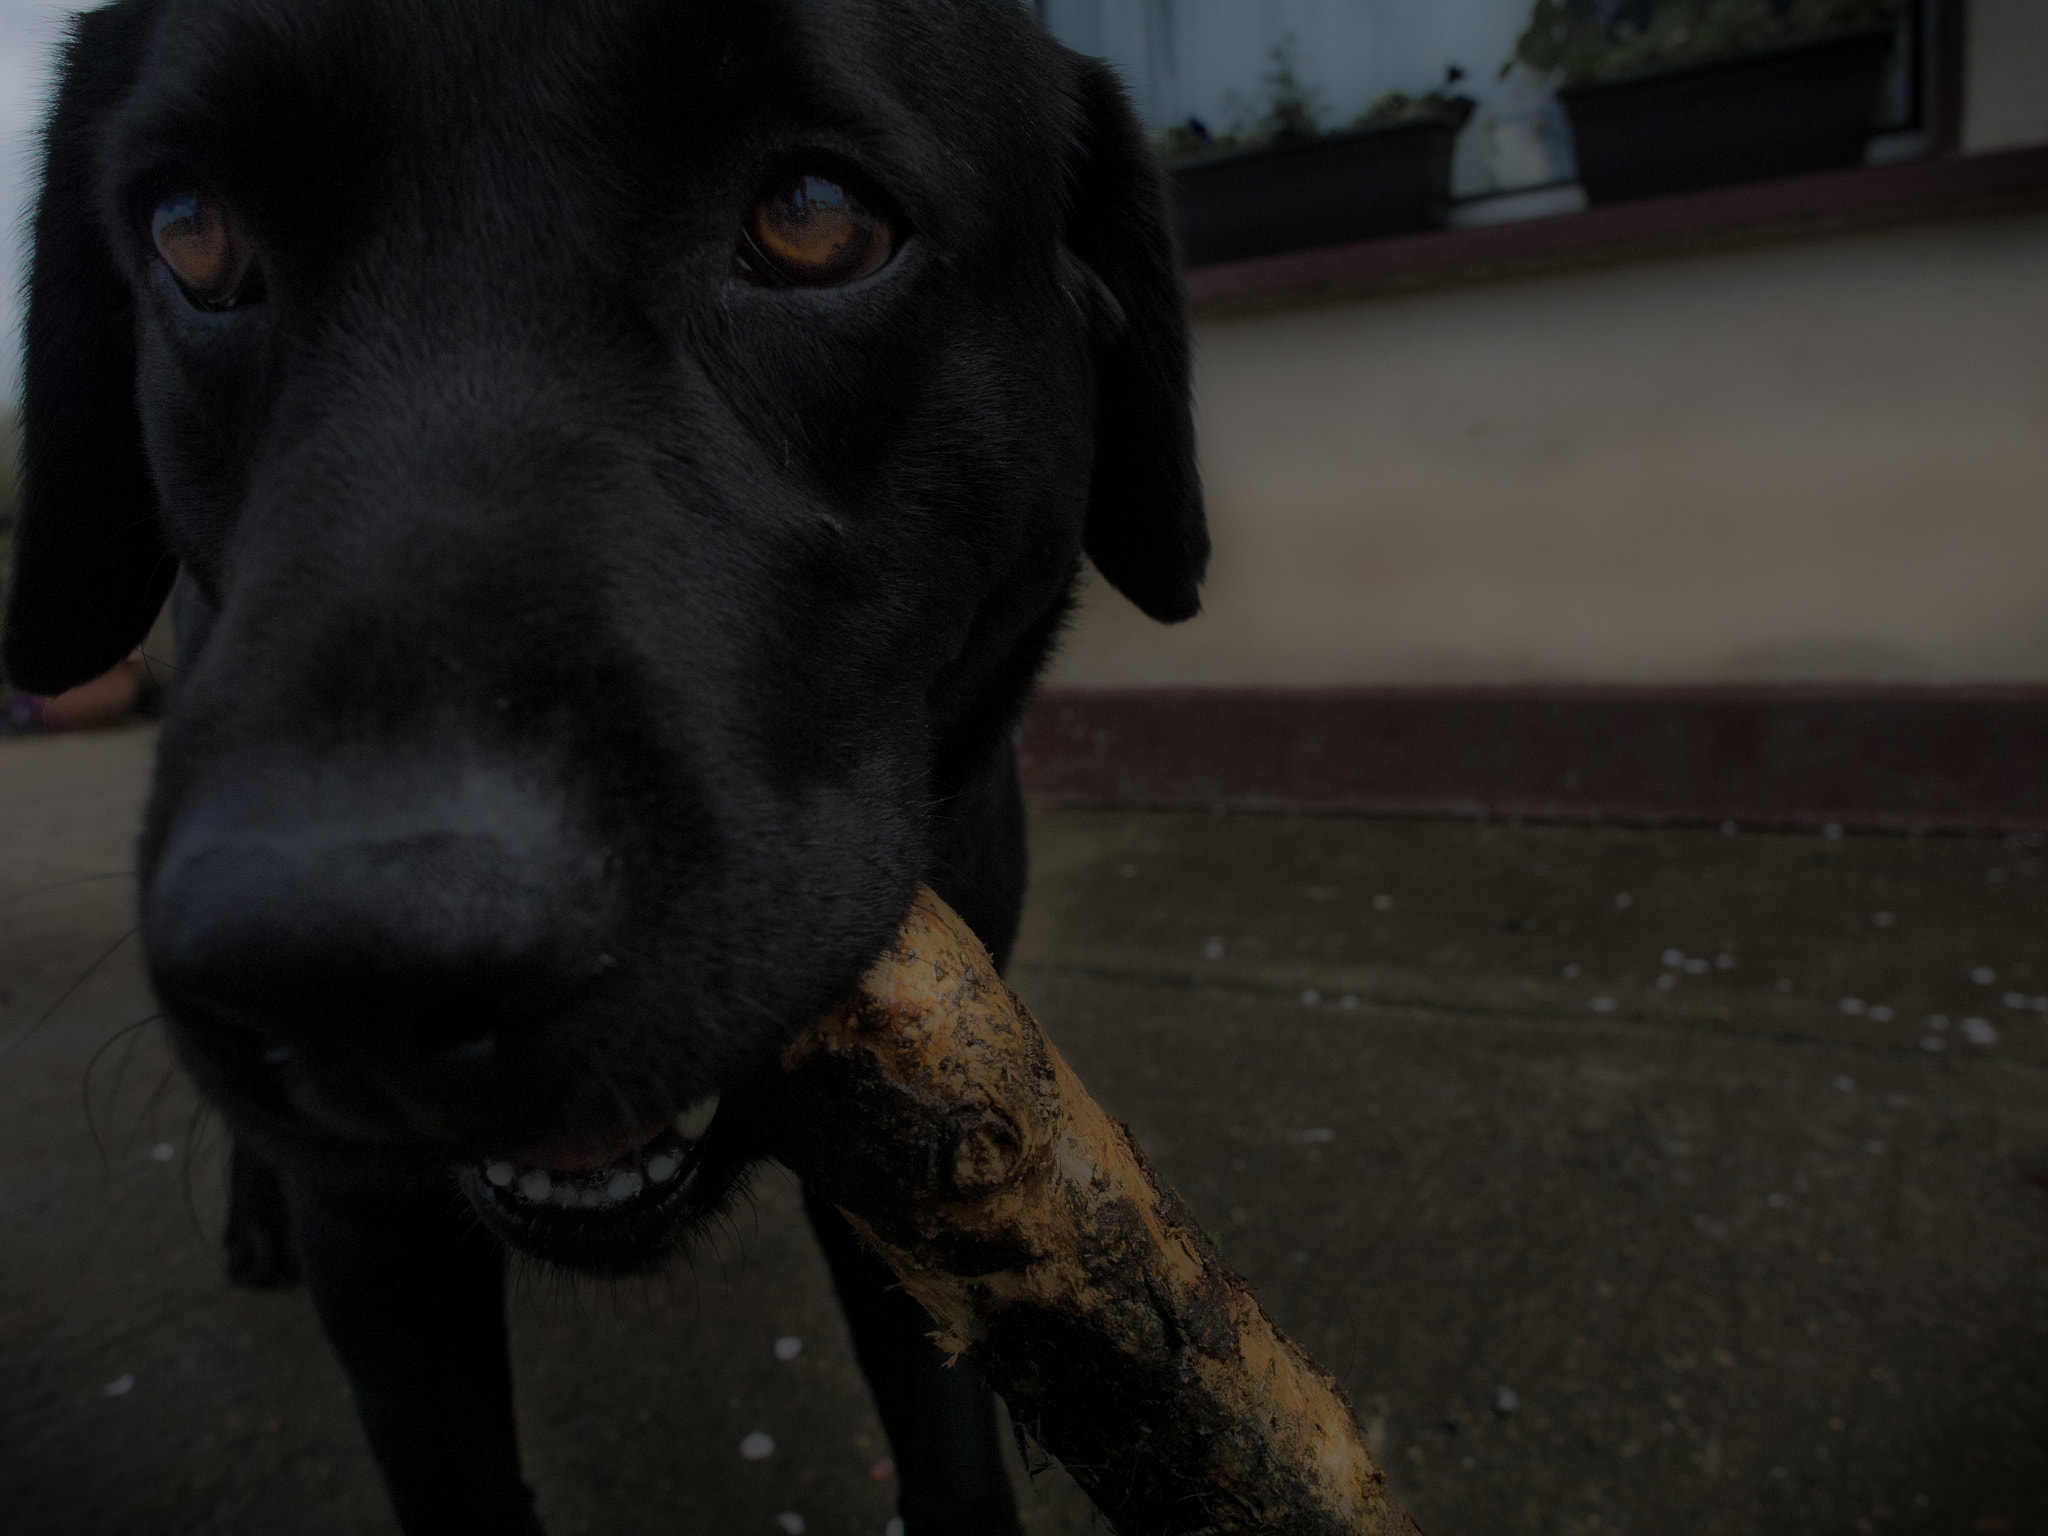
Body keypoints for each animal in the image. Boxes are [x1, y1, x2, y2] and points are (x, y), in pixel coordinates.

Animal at [4, 3, 1196, 1536]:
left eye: (817, 220)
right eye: (191, 233)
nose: (344, 977)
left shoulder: (922, 1177)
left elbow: (950, 1454)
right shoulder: (383, 1246)